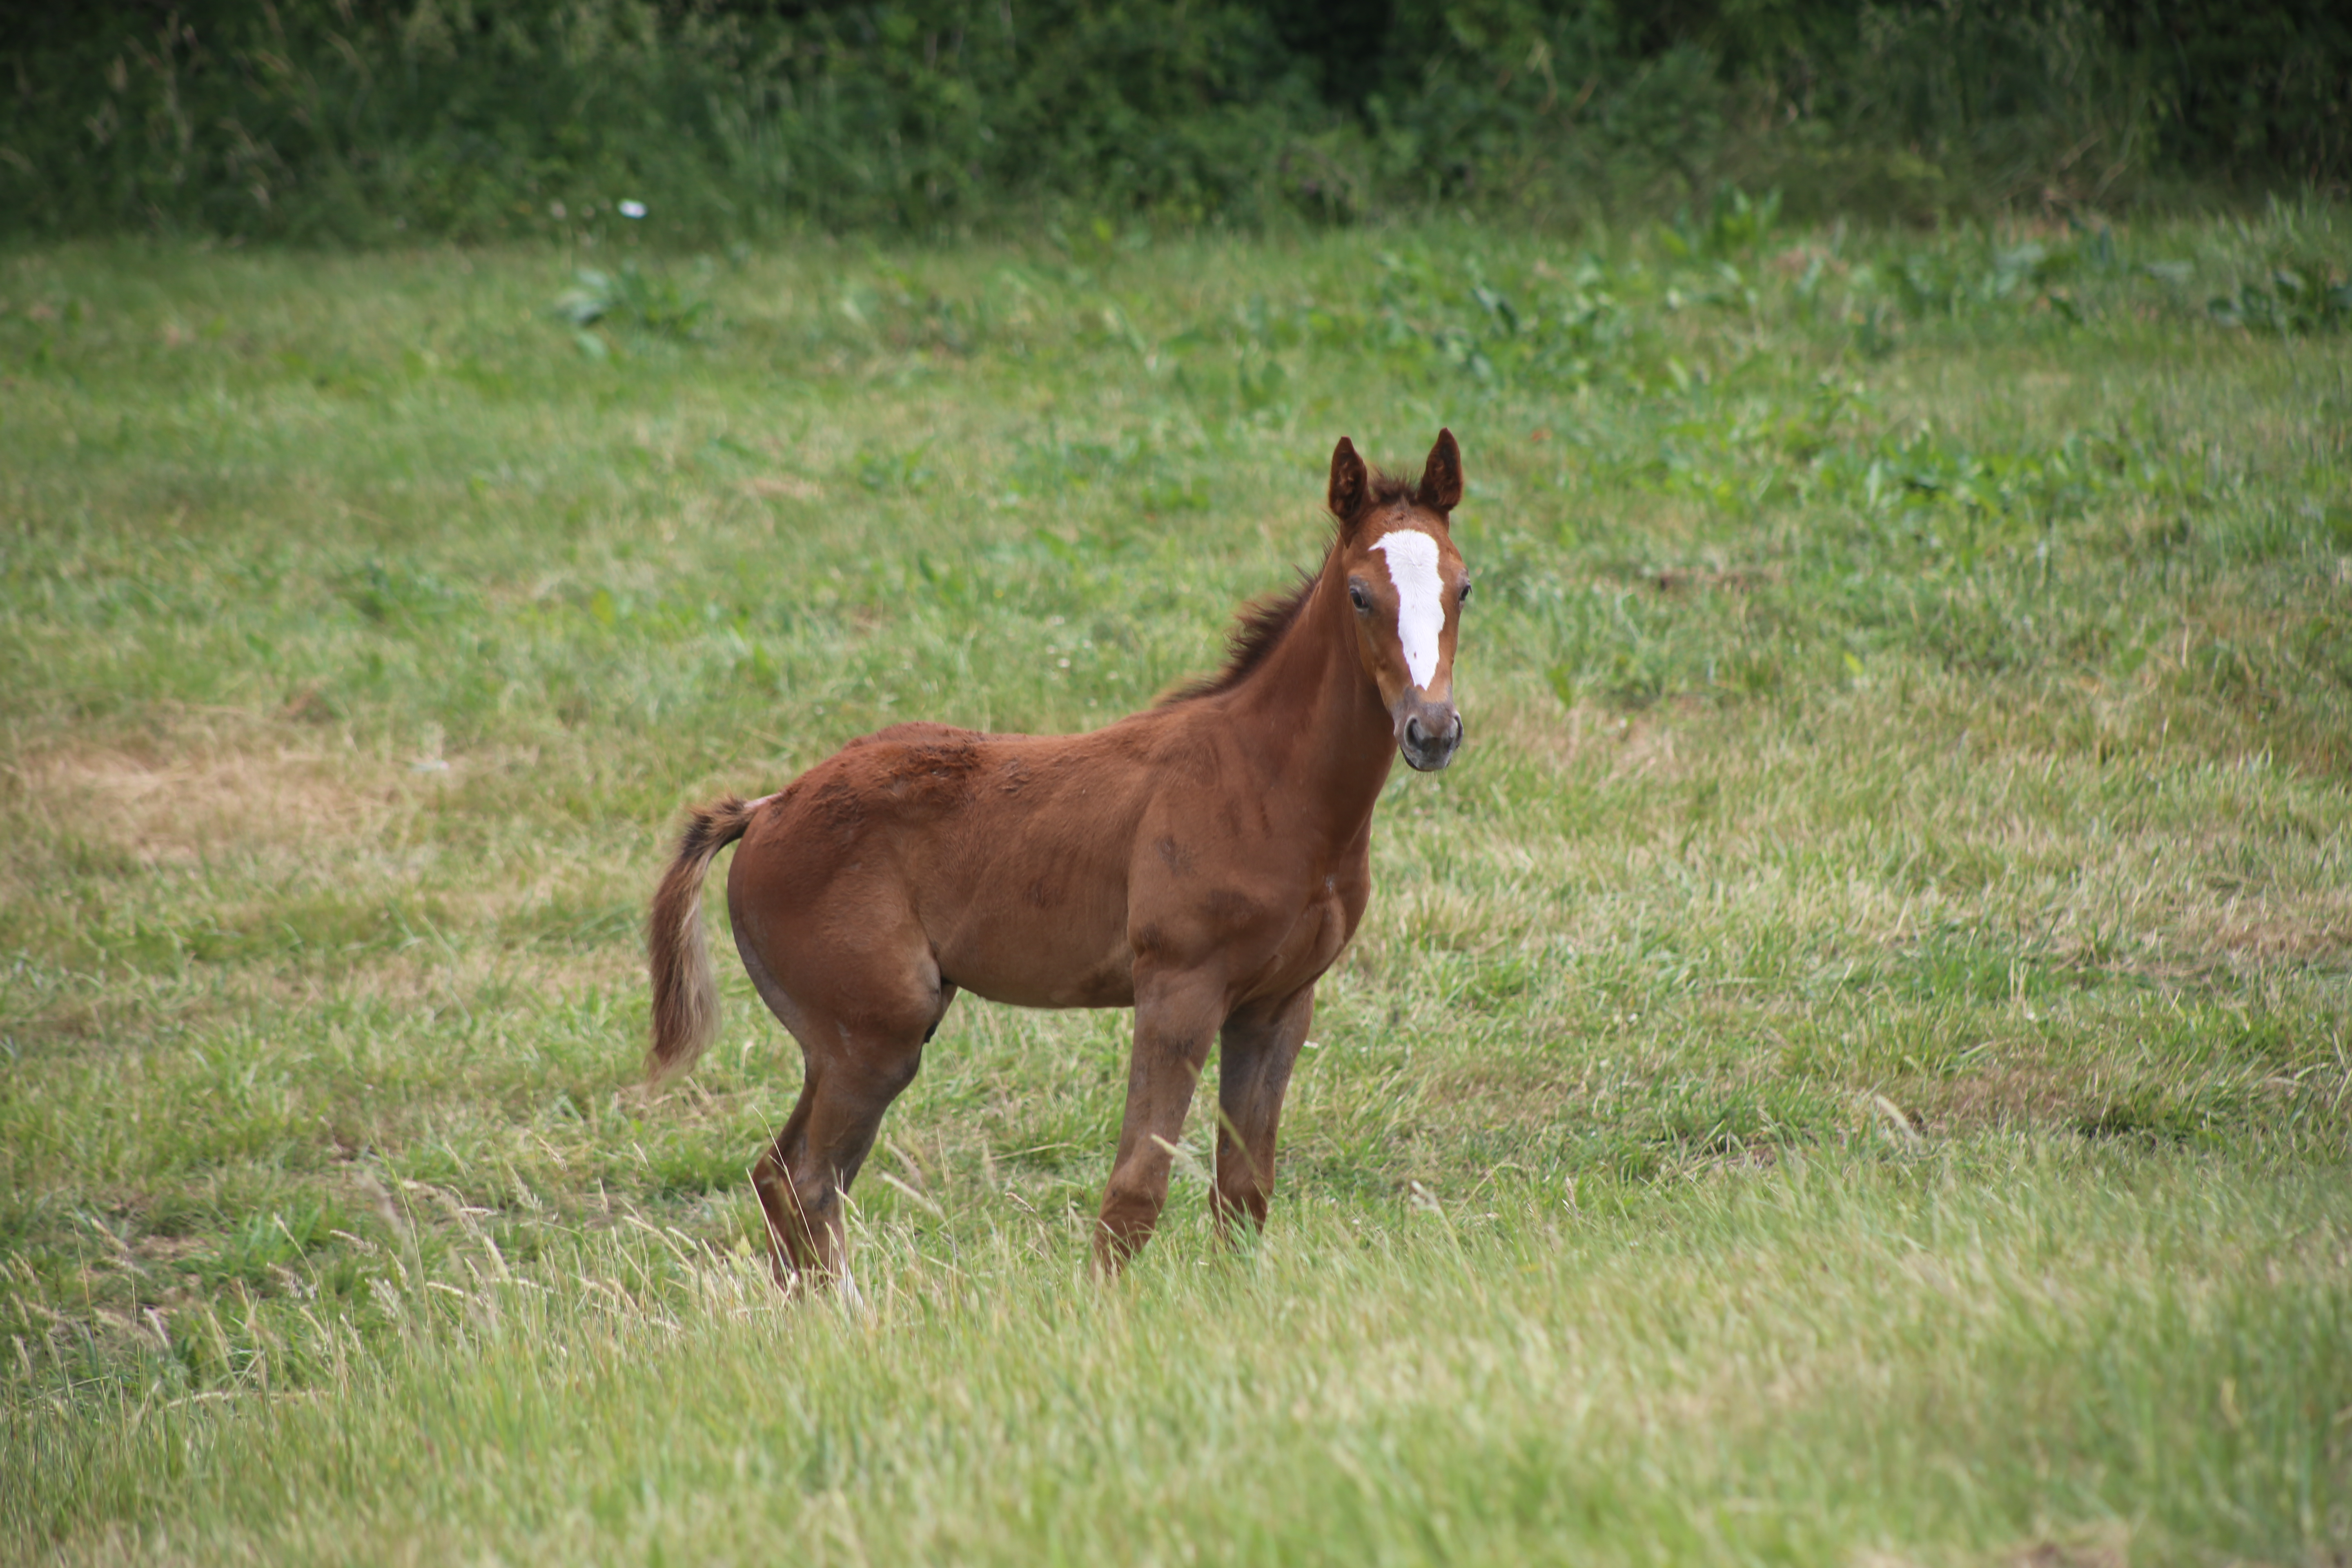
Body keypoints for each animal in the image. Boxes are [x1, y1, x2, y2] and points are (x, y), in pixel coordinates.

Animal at [644, 425, 1468, 1288]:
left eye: (1464, 588)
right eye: (1360, 595)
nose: (1432, 731)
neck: (1266, 779)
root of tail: (768, 808)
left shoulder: (1278, 1004)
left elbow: (1244, 1191)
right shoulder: (1179, 988)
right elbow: (1136, 1187)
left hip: (847, 1042)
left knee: (786, 1178)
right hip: (871, 1040)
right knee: (807, 1182)